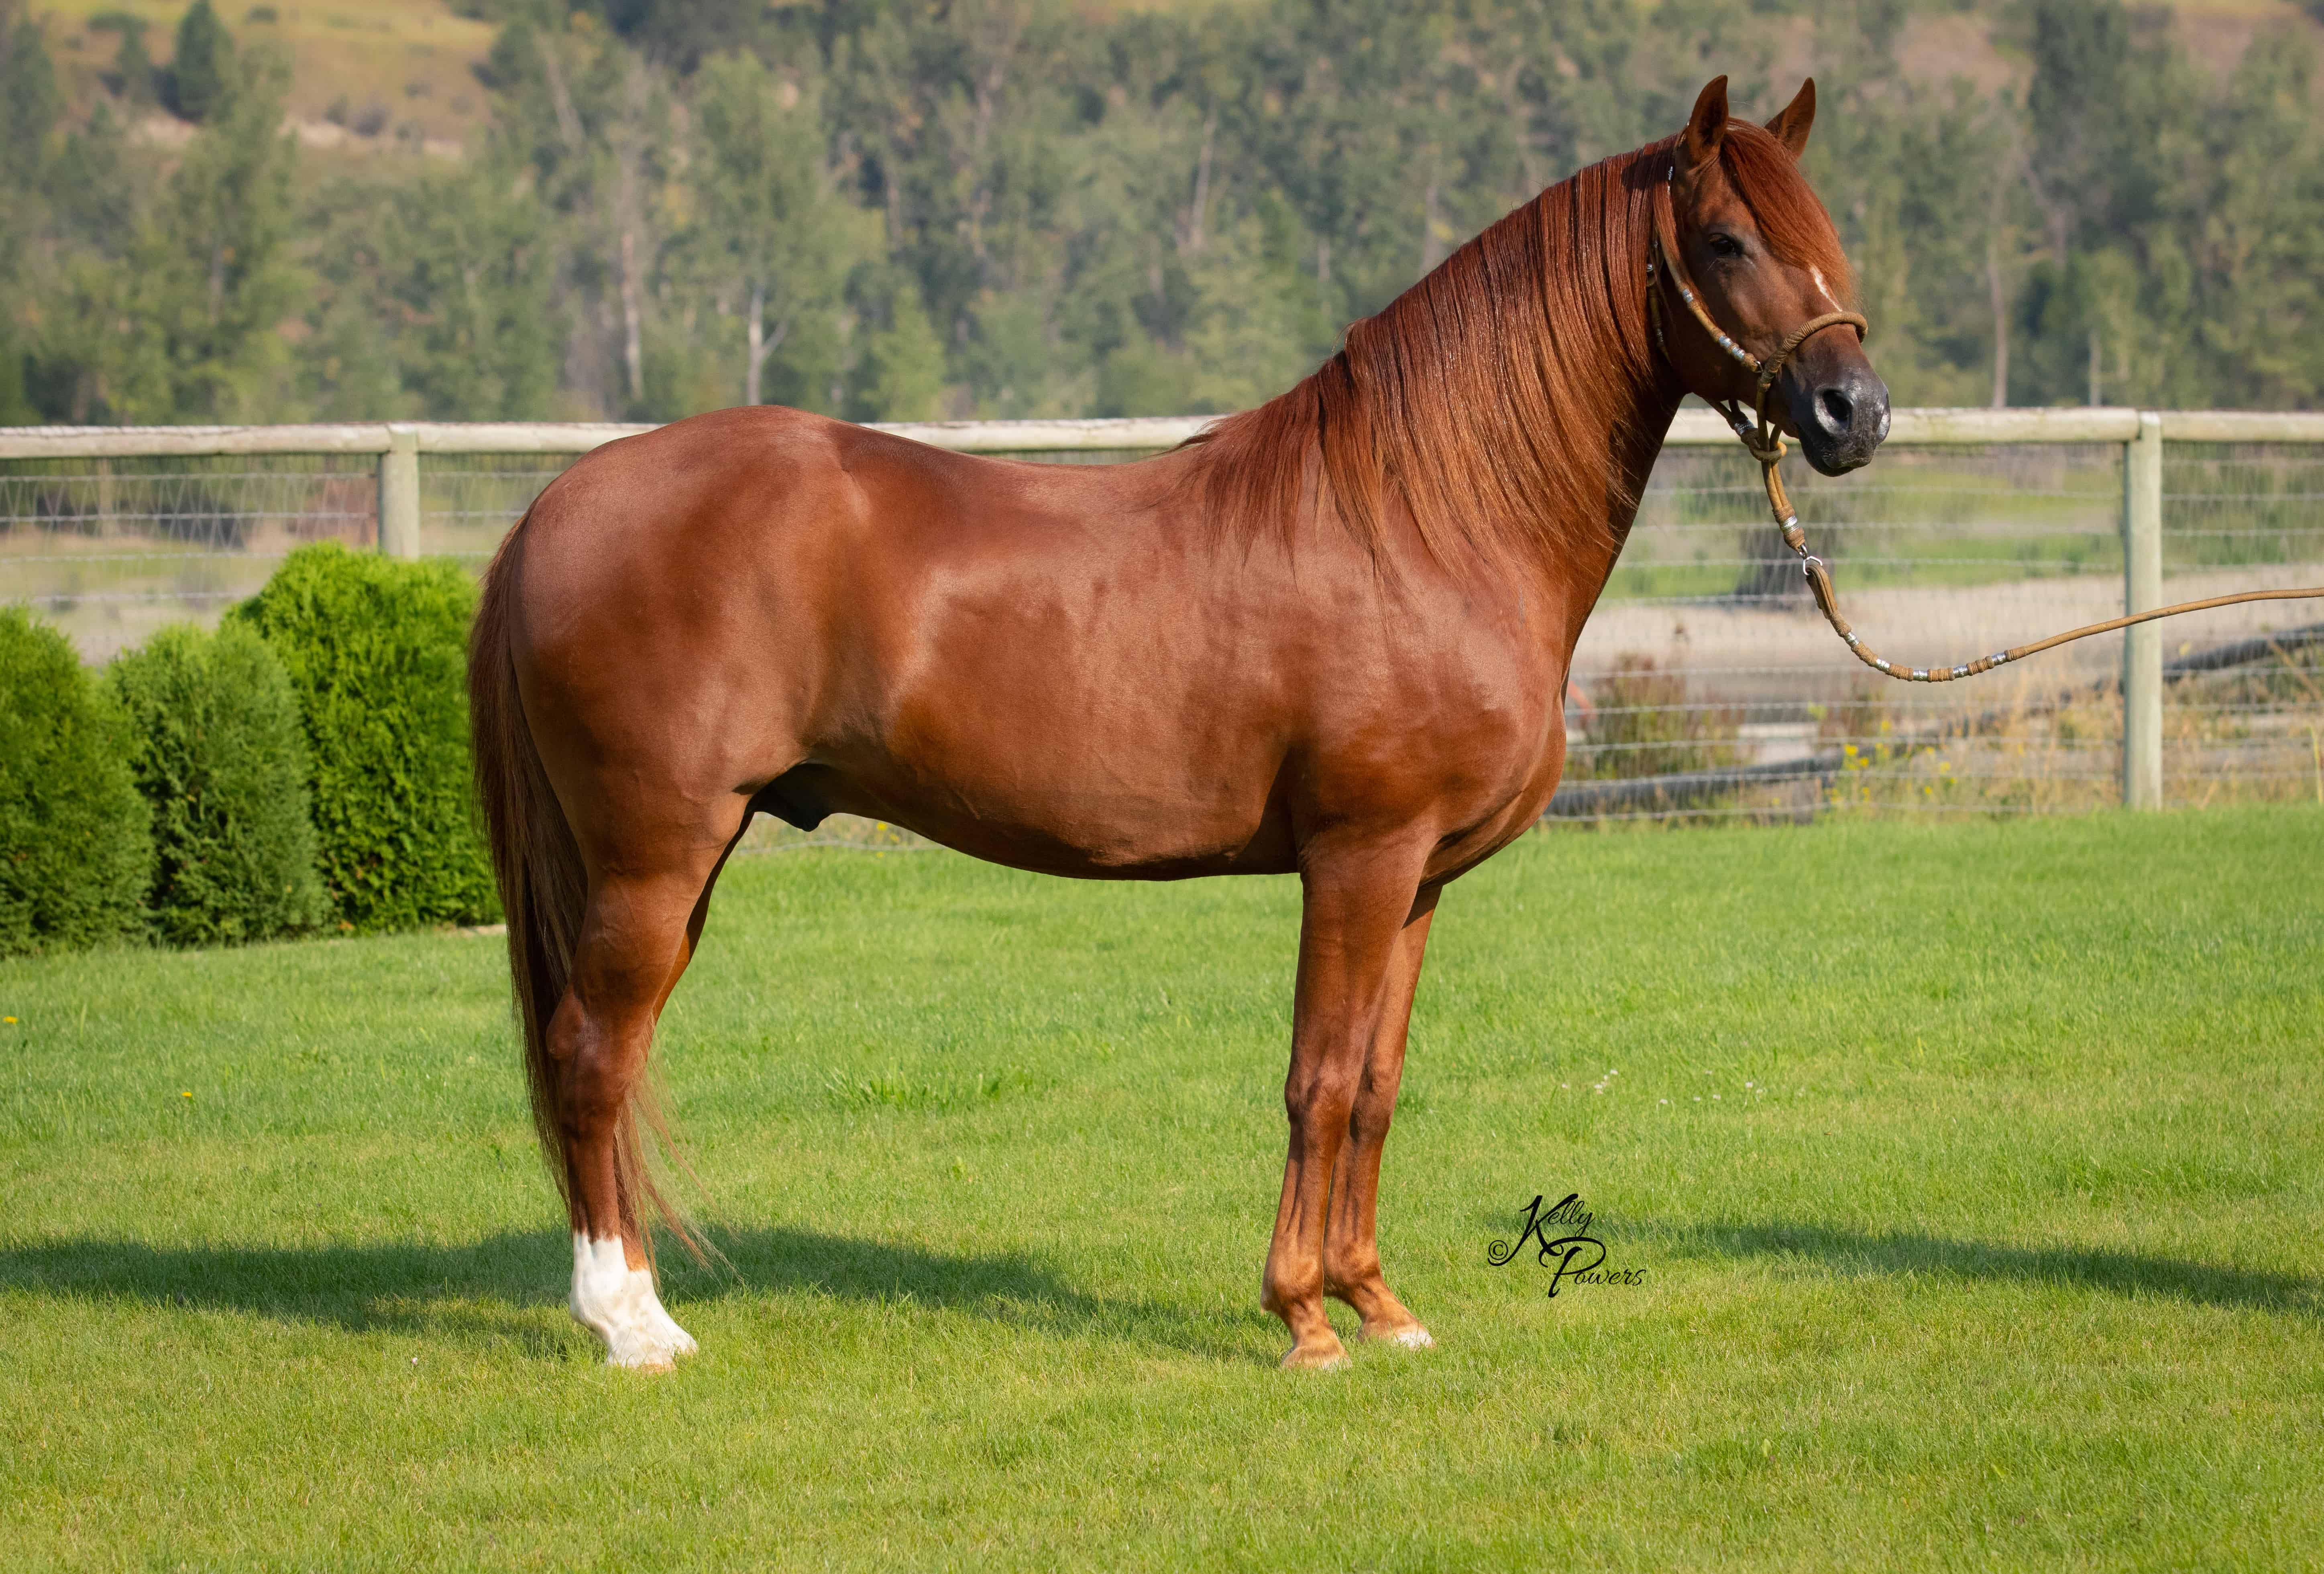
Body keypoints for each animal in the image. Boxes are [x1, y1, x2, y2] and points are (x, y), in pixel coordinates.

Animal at [468, 76, 1889, 1372]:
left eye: (1826, 227)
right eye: (1726, 240)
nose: (1853, 412)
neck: (1423, 522)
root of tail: (560, 503)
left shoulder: (1419, 880)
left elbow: (1375, 1088)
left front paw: (1381, 1307)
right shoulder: (1357, 860)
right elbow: (1316, 1080)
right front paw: (1304, 1320)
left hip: (677, 864)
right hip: (651, 856)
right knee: (591, 1054)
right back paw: (633, 1325)